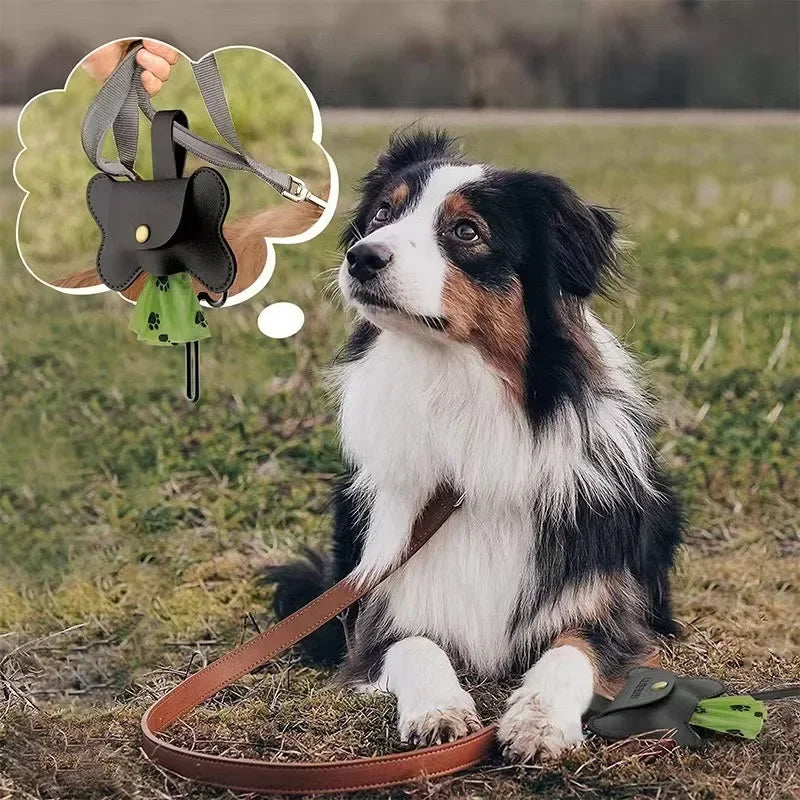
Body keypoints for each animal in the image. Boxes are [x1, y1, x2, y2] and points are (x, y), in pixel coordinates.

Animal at [270, 128, 680, 760]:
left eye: (467, 231)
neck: (455, 390)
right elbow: (417, 646)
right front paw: (439, 710)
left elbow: (570, 654)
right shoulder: (384, 608)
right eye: (383, 214)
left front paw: (538, 721)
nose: (362, 255)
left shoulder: (607, 613)